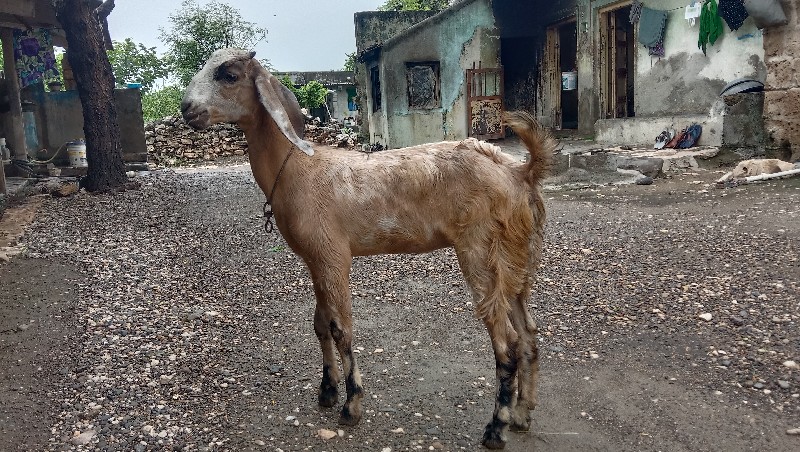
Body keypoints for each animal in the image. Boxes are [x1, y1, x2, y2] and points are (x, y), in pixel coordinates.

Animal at [181, 49, 556, 448]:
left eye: (229, 75)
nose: (187, 109)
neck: (298, 167)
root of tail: (520, 172)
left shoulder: (333, 255)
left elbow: (341, 328)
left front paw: (351, 405)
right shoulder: (315, 259)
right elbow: (320, 324)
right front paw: (327, 391)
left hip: (480, 247)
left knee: (507, 341)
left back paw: (496, 427)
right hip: (516, 253)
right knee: (528, 333)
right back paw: (522, 414)